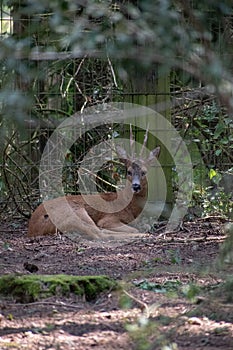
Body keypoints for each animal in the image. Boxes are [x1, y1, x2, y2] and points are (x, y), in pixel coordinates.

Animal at [27, 129, 160, 241]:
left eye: (144, 172)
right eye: (129, 172)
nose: (136, 186)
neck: (129, 206)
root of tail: (32, 228)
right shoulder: (109, 218)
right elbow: (132, 228)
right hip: (76, 213)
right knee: (98, 233)